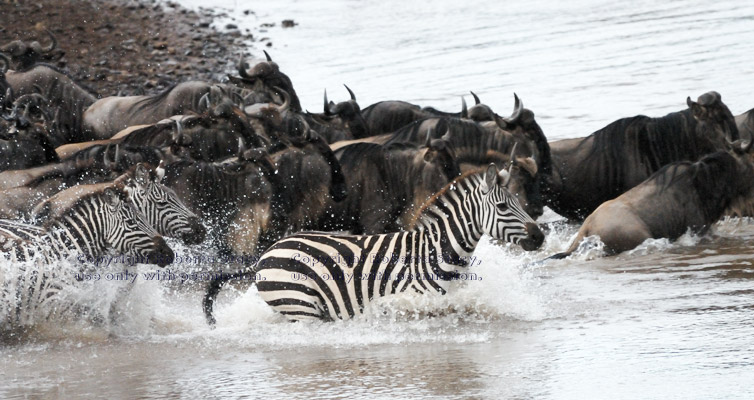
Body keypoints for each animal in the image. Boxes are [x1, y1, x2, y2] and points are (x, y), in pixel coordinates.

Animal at [203, 164, 544, 324]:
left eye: (518, 202)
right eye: (503, 207)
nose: (539, 236)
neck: (435, 251)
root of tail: (264, 255)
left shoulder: (450, 301)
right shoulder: (412, 301)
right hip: (300, 304)